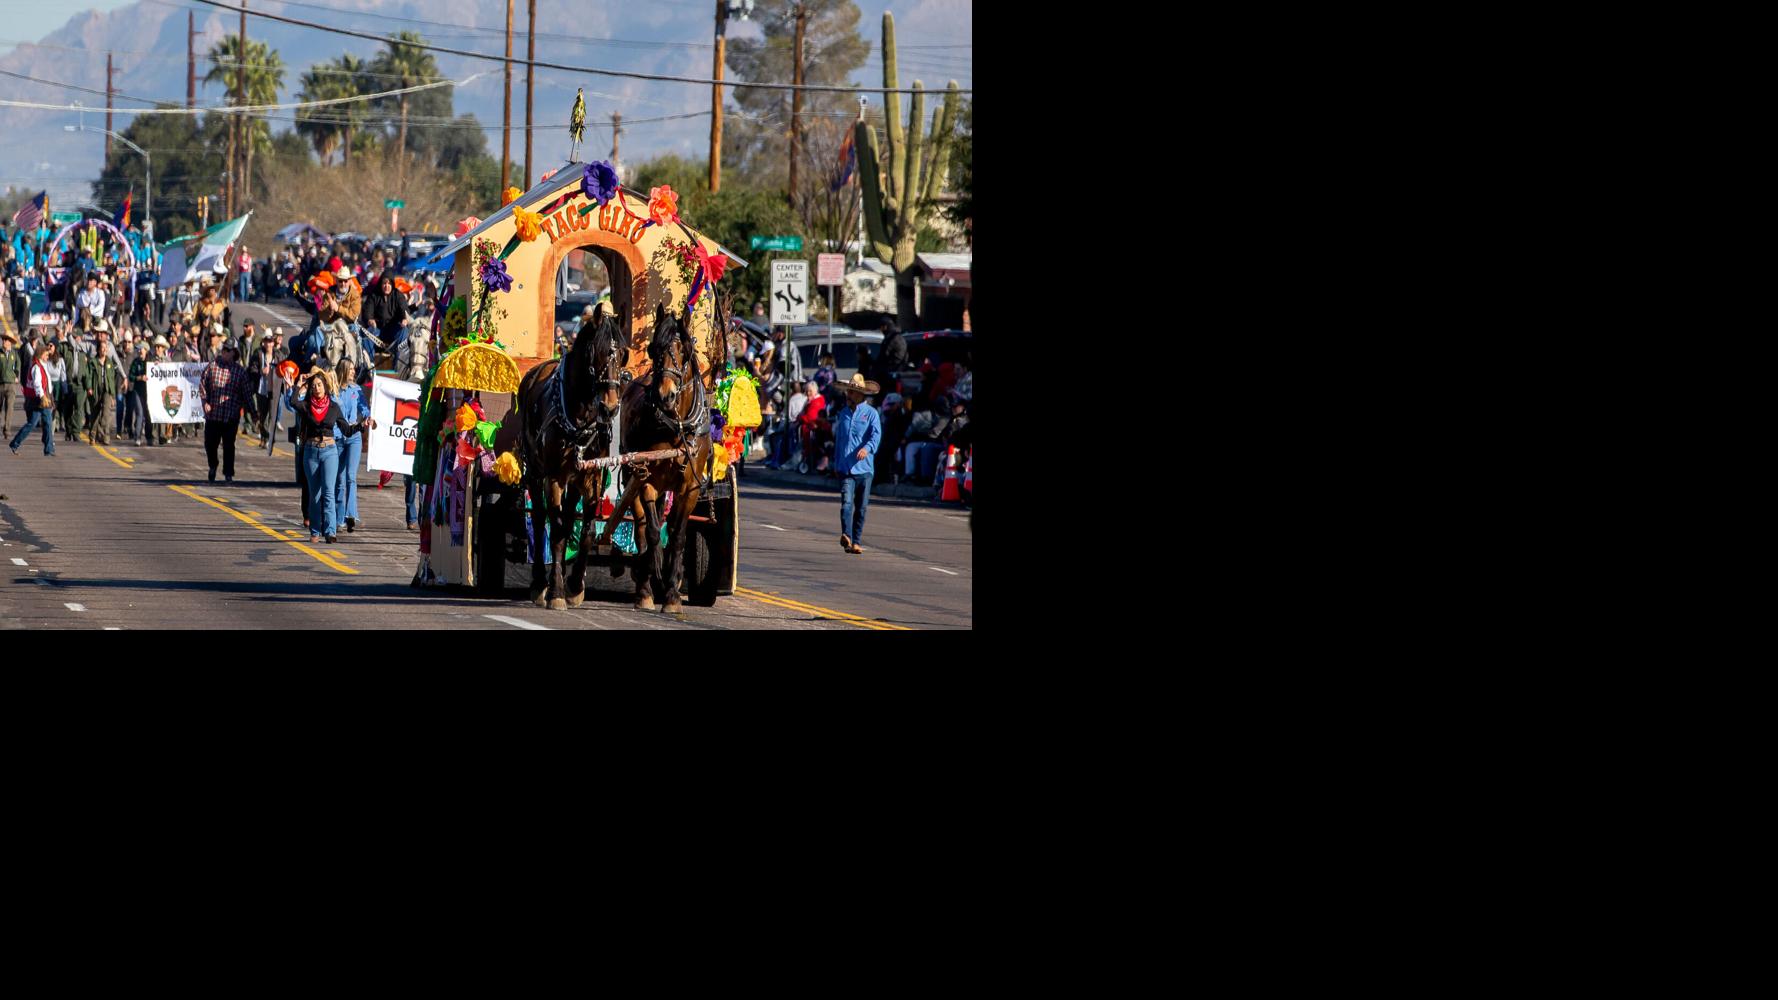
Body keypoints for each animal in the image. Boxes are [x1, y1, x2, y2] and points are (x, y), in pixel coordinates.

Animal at [512, 311, 629, 608]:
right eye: (596, 352)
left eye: (623, 354)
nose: (610, 407)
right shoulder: (554, 477)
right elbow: (556, 531)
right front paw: (555, 591)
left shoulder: (591, 478)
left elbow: (585, 530)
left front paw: (575, 585)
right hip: (536, 473)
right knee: (540, 519)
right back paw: (540, 582)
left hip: (574, 480)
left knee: (566, 519)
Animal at [593, 297, 711, 608]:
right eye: (654, 349)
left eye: (683, 350)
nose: (664, 395)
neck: (676, 426)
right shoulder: (646, 478)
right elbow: (654, 533)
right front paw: (651, 580)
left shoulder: (690, 487)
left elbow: (678, 536)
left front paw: (672, 592)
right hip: (634, 475)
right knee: (643, 528)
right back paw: (644, 582)